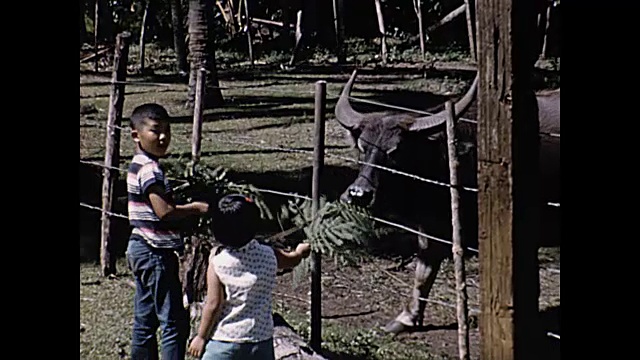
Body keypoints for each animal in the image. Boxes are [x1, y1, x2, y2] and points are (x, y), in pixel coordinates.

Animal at [336, 69, 560, 334]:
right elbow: (424, 270)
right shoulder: (431, 227)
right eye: (362, 148)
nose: (358, 194)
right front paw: (406, 317)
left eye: (396, 151)